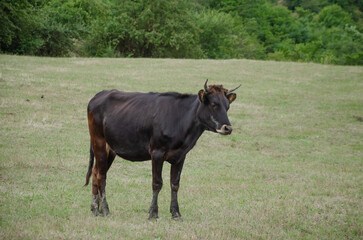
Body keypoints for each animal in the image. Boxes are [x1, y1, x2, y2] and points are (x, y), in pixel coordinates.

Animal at [84, 79, 240, 218]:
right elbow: (157, 183)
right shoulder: (157, 152)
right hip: (99, 141)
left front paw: (175, 212)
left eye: (227, 106)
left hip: (110, 148)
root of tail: (100, 94)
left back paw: (95, 209)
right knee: (101, 175)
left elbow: (175, 184)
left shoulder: (180, 156)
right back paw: (105, 210)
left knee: (96, 171)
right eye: (214, 104)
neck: (181, 121)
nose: (227, 128)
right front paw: (153, 212)